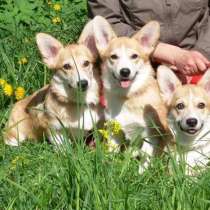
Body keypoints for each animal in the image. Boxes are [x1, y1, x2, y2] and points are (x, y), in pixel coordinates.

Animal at [92, 16, 170, 172]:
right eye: (113, 57)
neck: (127, 97)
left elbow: (144, 162)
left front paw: (141, 175)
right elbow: (111, 155)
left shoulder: (150, 136)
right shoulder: (114, 132)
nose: (125, 71)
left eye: (134, 56)